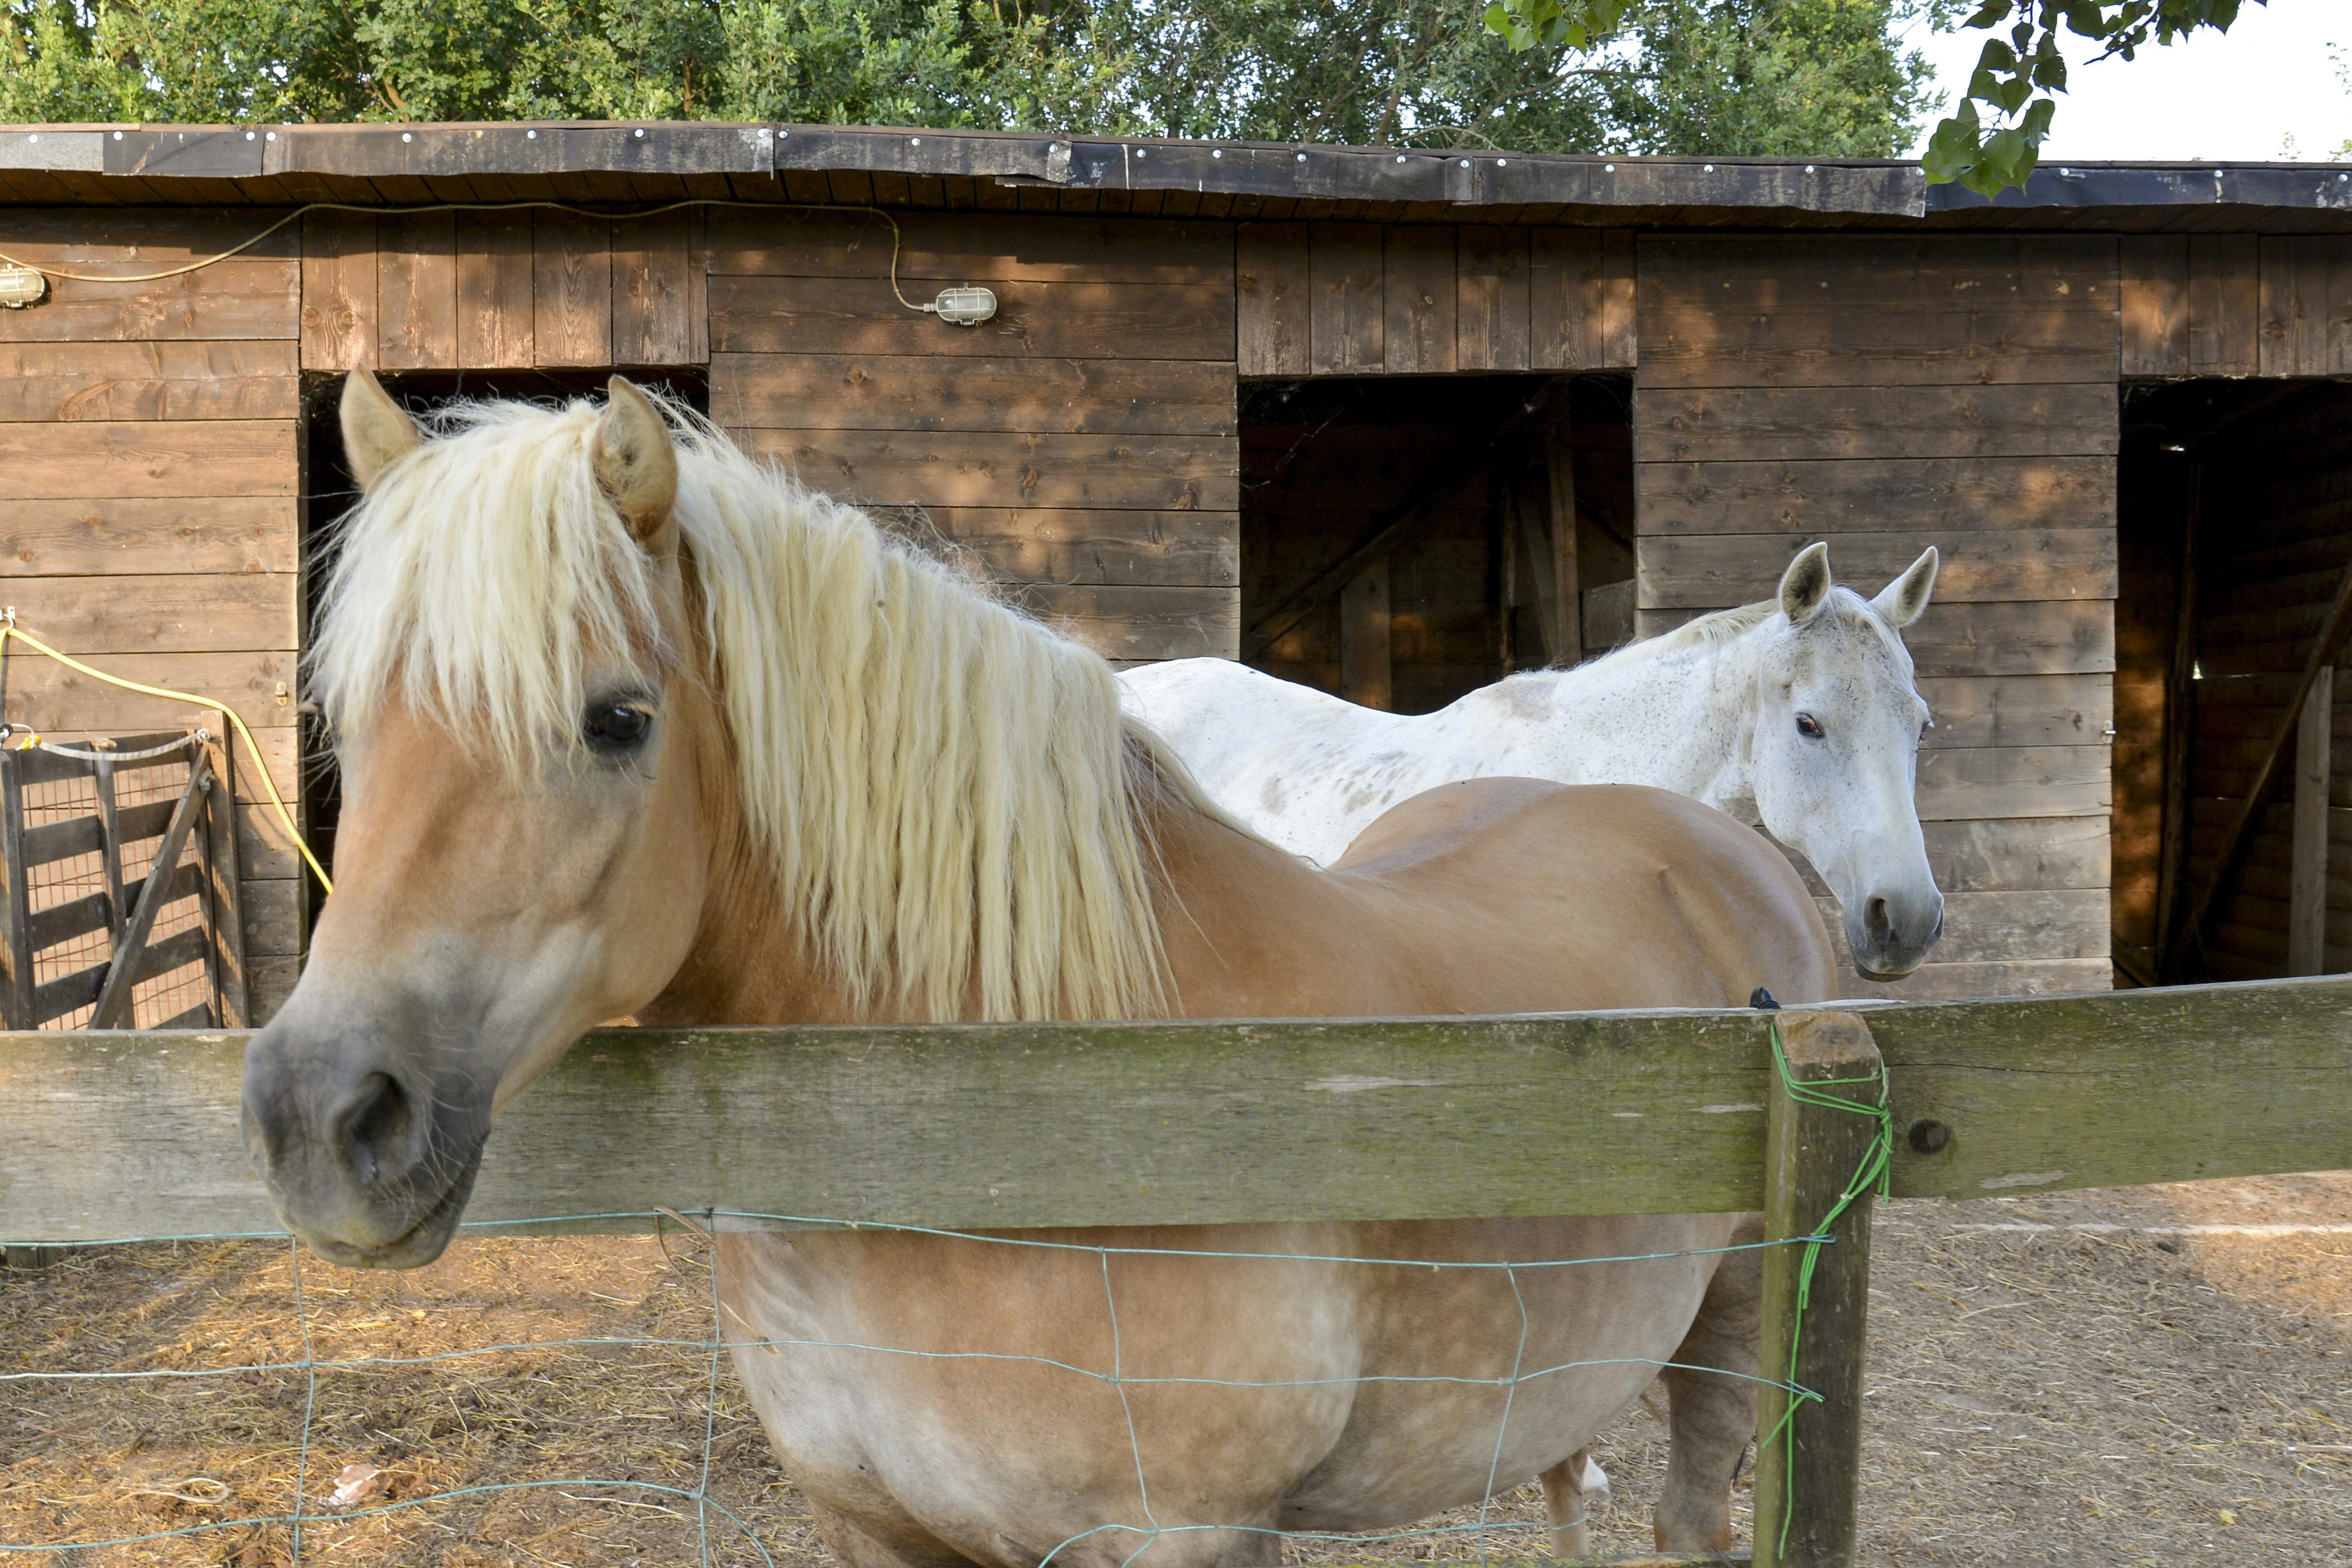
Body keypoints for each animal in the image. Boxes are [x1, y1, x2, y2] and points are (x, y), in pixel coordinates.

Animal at [240, 372, 1838, 1566]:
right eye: (346, 722)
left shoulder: (1186, 1536)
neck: (1032, 1103)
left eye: (618, 719)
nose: (322, 1114)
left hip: (1738, 1335)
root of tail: (1730, 847)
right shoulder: (874, 1528)